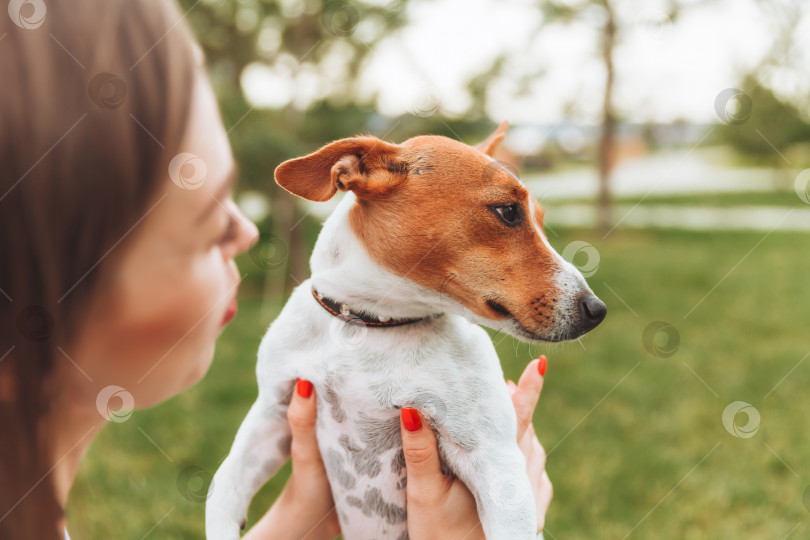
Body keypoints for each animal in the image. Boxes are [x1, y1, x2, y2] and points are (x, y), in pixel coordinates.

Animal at [205, 122, 604, 540]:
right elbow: (224, 487)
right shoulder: (272, 413)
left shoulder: (494, 462)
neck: (372, 324)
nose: (597, 310)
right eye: (508, 211)